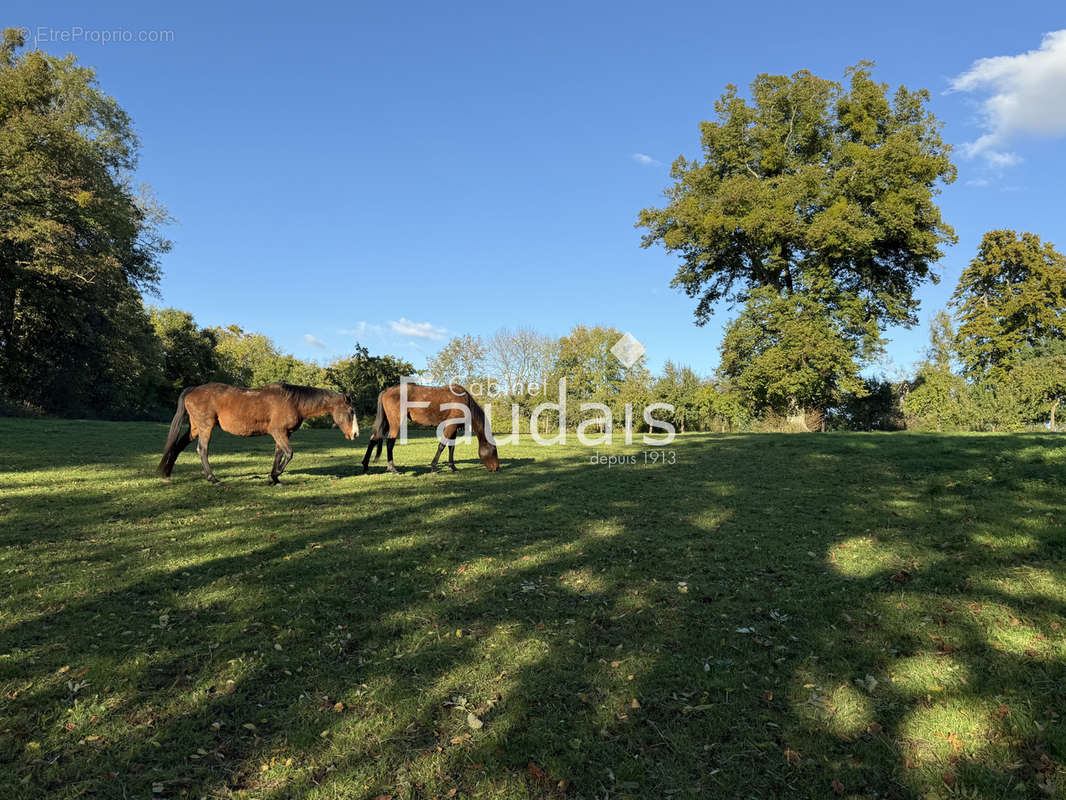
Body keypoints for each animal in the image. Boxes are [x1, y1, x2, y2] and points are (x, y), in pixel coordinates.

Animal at [155, 379, 360, 482]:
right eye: (351, 411)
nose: (355, 434)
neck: (293, 401)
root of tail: (193, 390)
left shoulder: (283, 434)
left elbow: (279, 454)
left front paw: (274, 478)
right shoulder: (278, 432)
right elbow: (289, 453)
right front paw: (275, 475)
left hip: (195, 428)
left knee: (177, 446)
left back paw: (167, 474)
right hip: (206, 427)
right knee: (202, 450)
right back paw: (212, 478)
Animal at [362, 384, 498, 475]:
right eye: (494, 449)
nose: (497, 468)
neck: (465, 402)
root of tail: (386, 390)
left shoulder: (453, 428)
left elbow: (451, 447)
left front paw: (453, 467)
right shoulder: (451, 426)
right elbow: (442, 446)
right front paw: (433, 467)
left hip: (386, 423)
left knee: (374, 439)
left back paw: (365, 465)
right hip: (395, 423)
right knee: (390, 442)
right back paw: (393, 469)